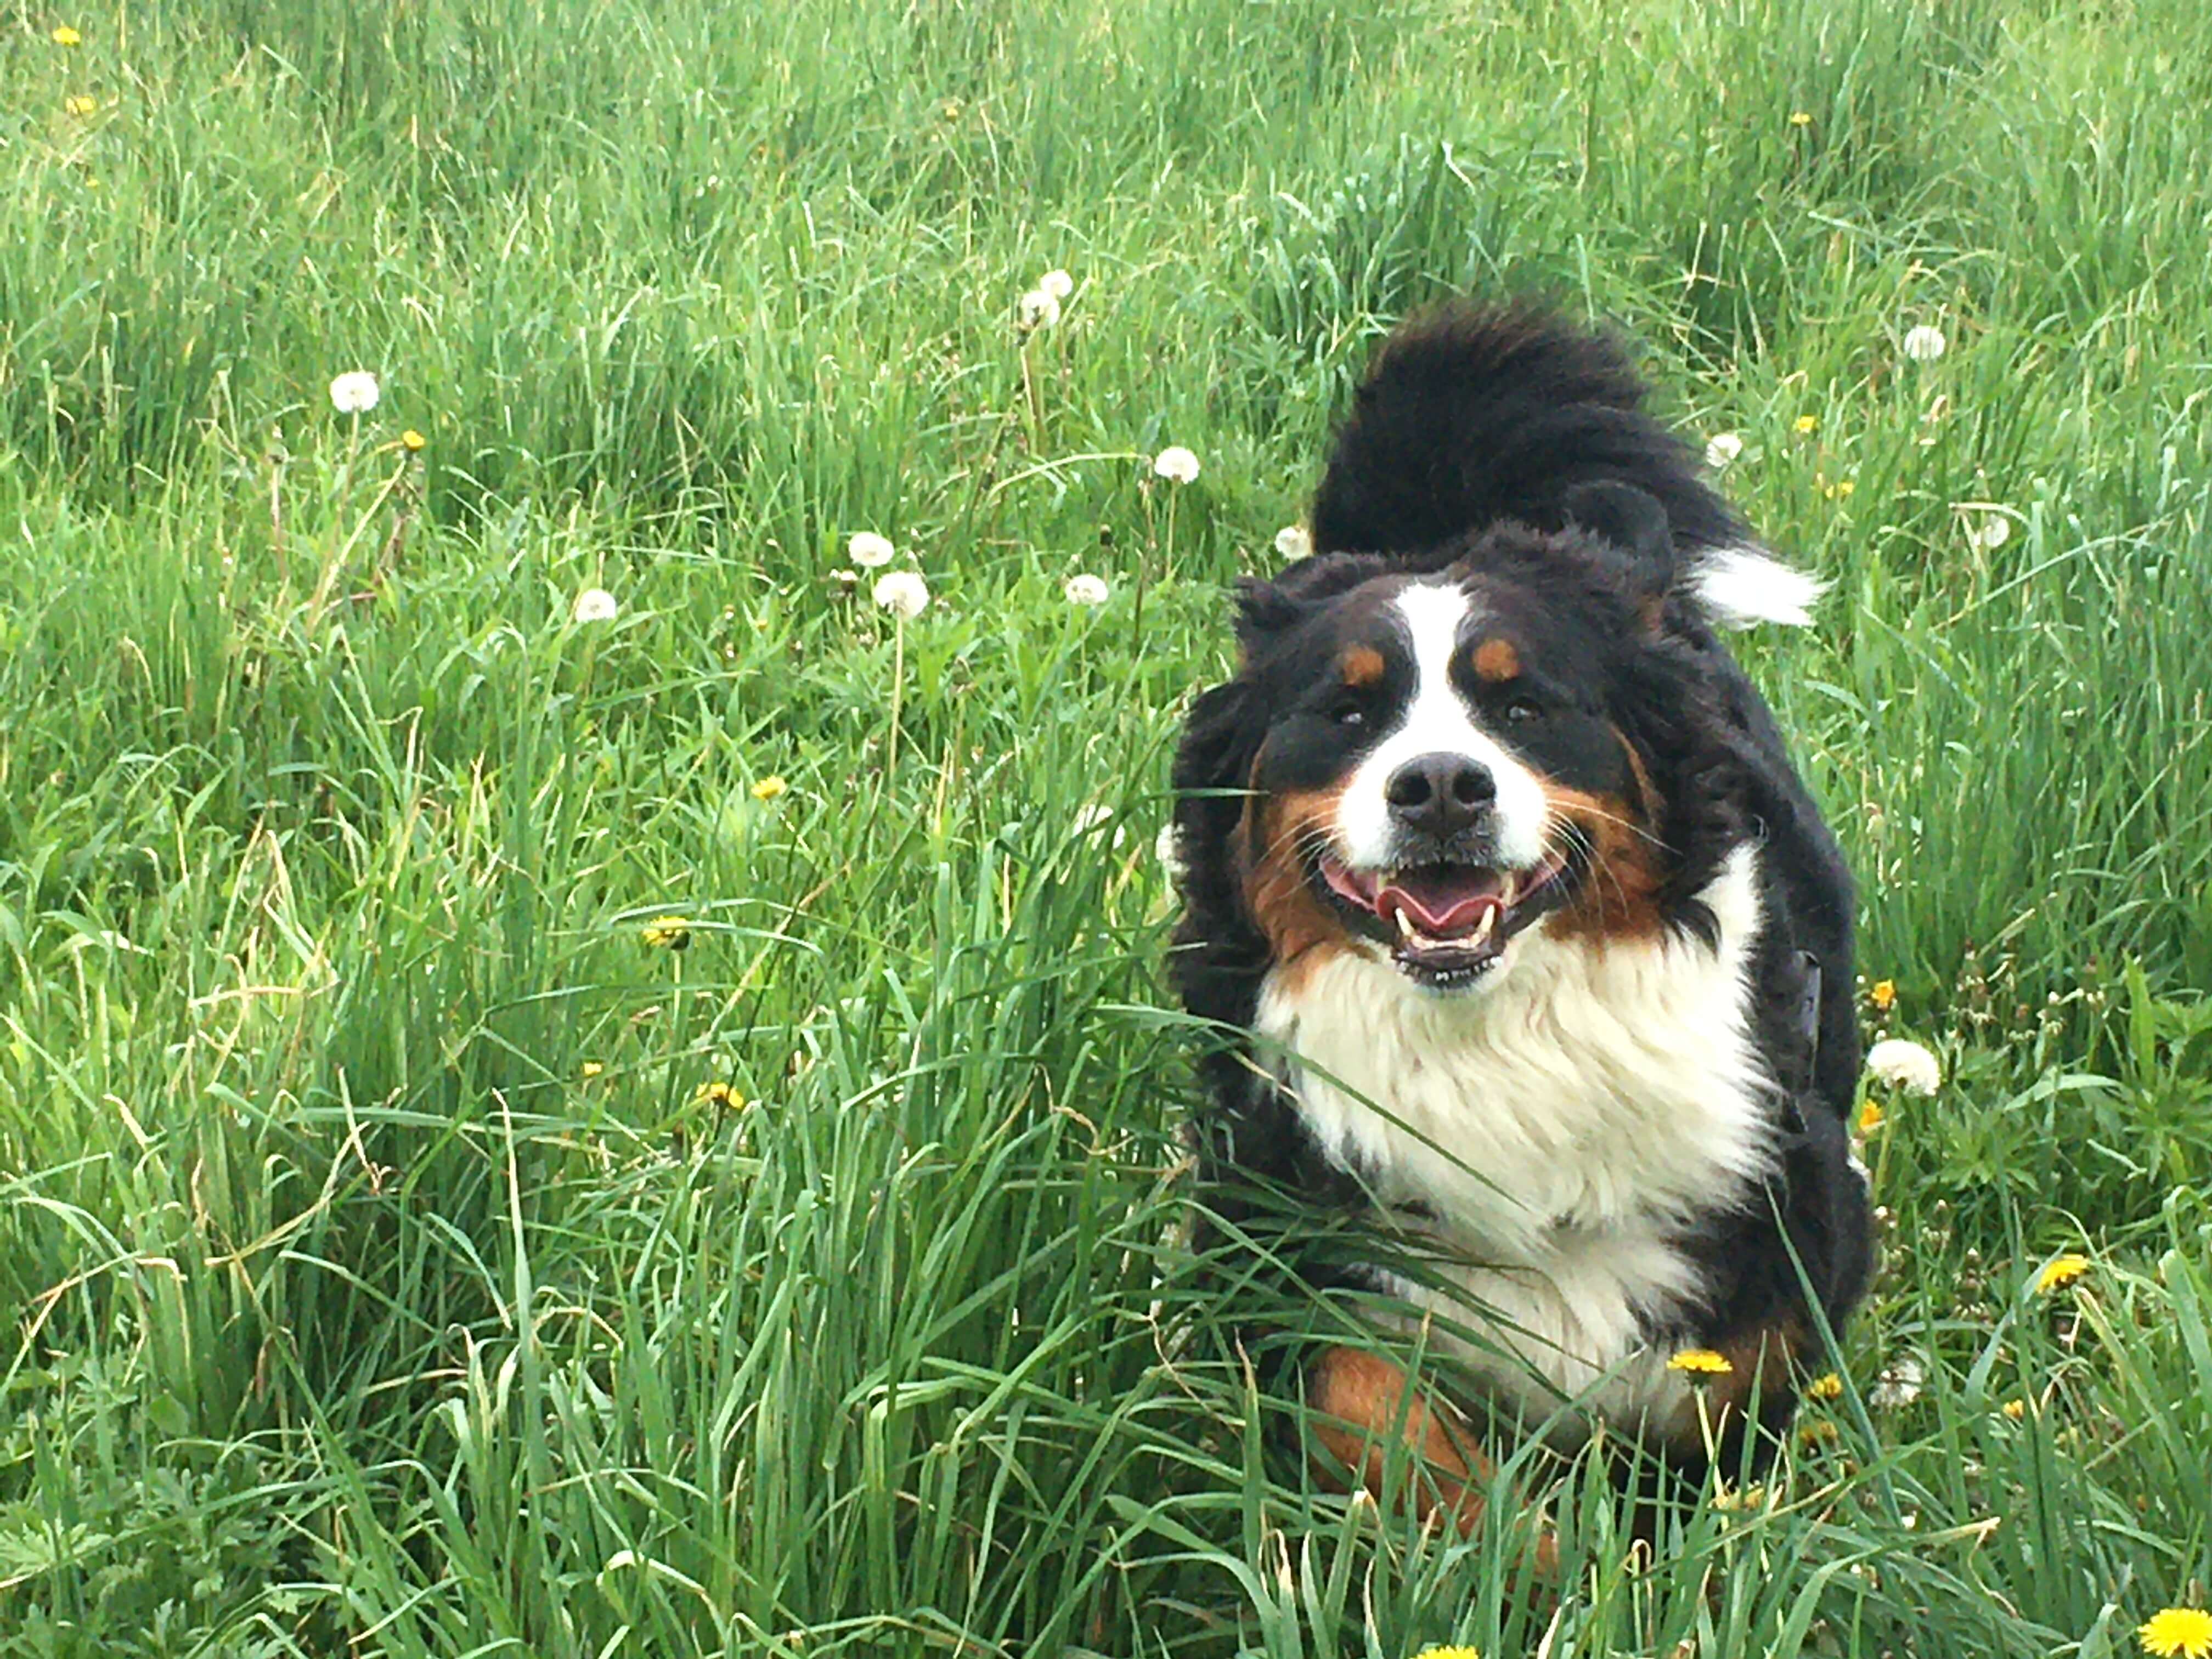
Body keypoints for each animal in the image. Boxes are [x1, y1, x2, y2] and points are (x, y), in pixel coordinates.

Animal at [1167, 296, 1876, 1531]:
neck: (1492, 1037)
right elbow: (1376, 1410)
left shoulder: (1788, 1203)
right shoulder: (1282, 1227)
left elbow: (1724, 1386)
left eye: (1523, 705)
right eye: (1347, 711)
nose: (1442, 785)